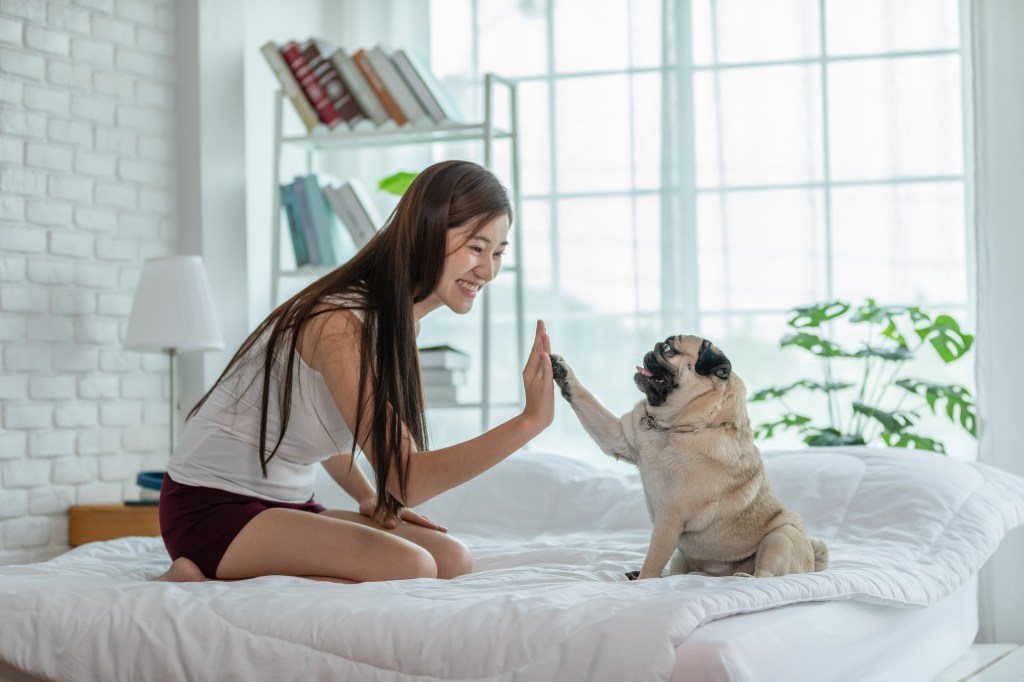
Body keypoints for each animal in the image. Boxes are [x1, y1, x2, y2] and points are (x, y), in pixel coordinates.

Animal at [548, 333, 827, 577]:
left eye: (668, 349)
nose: (653, 347)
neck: (676, 425)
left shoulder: (668, 522)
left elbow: (652, 564)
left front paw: (642, 581)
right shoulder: (618, 436)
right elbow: (584, 397)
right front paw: (561, 371)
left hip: (781, 537)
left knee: (766, 572)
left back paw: (745, 576)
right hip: (682, 558)